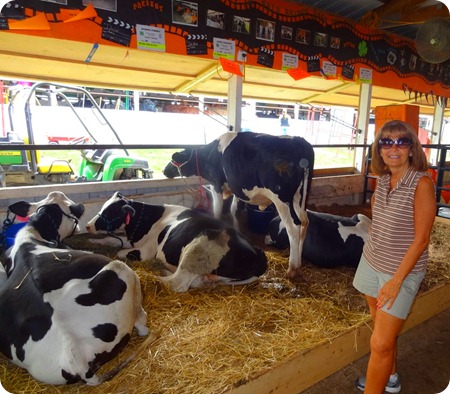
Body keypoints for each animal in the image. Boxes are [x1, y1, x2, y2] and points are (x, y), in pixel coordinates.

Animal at [85, 191, 268, 292]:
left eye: (108, 213)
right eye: (102, 208)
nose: (87, 226)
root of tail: (257, 253)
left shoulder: (145, 252)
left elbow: (120, 252)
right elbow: (113, 240)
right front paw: (94, 241)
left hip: (196, 252)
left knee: (176, 283)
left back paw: (156, 275)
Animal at [163, 132, 314, 280]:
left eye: (174, 159)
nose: (165, 171)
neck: (210, 154)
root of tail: (299, 140)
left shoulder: (216, 184)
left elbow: (217, 210)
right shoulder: (236, 189)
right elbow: (234, 210)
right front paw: (237, 230)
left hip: (281, 199)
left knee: (293, 227)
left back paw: (292, 268)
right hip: (300, 195)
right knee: (304, 221)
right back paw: (299, 262)